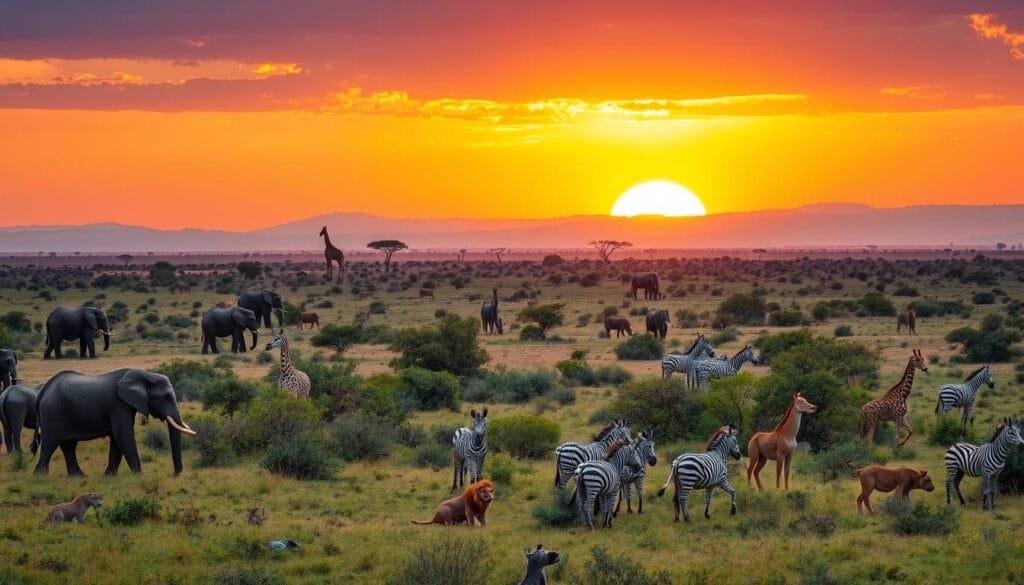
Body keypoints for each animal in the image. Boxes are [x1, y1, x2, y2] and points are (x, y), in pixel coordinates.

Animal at [33, 370, 194, 475]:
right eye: (166, 397)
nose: (175, 474)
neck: (146, 375)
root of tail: (42, 393)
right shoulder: (118, 404)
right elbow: (123, 435)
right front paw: (139, 476)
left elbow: (117, 439)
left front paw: (109, 476)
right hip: (53, 413)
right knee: (50, 443)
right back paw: (41, 477)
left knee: (68, 445)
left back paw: (78, 476)